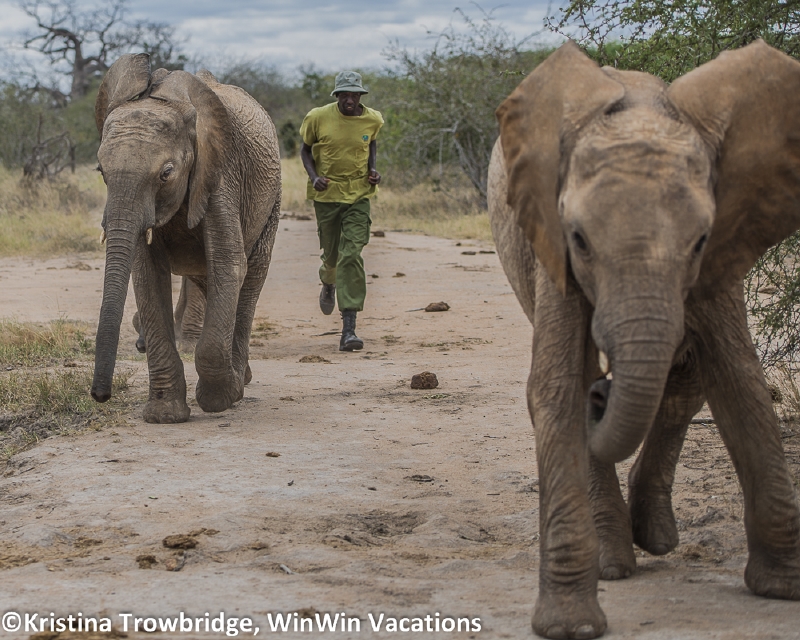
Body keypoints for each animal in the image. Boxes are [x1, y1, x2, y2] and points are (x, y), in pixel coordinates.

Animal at [91, 53, 281, 423]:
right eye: (101, 172)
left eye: (166, 173)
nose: (99, 395)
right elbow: (148, 276)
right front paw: (165, 416)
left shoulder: (221, 174)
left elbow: (228, 264)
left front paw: (221, 398)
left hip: (272, 203)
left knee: (250, 279)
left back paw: (240, 380)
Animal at [488, 40, 800, 639]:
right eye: (580, 239)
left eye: (699, 238)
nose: (603, 394)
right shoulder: (550, 246)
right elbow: (557, 387)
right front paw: (571, 626)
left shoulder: (720, 250)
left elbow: (739, 383)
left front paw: (782, 587)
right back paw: (615, 560)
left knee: (688, 381)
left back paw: (654, 538)